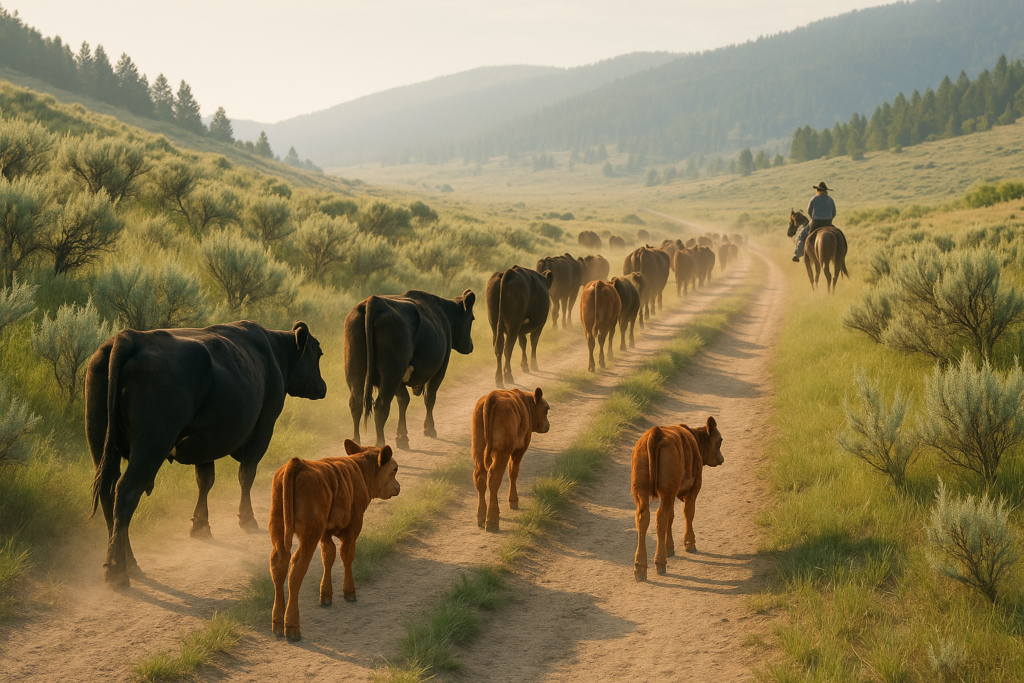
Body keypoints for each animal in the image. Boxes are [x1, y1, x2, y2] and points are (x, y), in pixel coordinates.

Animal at [85, 321, 328, 588]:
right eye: (318, 353)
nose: (323, 387)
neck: (275, 352)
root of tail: (130, 337)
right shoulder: (263, 428)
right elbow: (246, 475)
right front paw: (247, 518)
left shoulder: (207, 441)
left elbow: (205, 480)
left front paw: (201, 525)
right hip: (151, 445)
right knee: (126, 492)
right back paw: (118, 570)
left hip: (102, 445)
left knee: (108, 493)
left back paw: (128, 562)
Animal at [269, 440, 400, 641]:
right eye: (395, 469)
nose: (398, 487)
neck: (360, 470)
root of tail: (298, 463)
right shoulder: (353, 526)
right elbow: (346, 556)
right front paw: (349, 591)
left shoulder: (326, 532)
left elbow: (328, 556)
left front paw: (325, 594)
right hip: (310, 533)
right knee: (296, 569)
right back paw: (292, 626)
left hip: (278, 528)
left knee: (279, 566)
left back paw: (277, 622)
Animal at [345, 289, 476, 450]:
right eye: (472, 319)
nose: (471, 345)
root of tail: (374, 301)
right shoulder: (441, 368)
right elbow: (429, 396)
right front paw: (429, 428)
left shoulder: (400, 378)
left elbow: (403, 400)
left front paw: (402, 436)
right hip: (391, 373)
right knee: (381, 406)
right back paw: (380, 444)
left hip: (356, 370)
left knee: (356, 404)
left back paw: (355, 443)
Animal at [472, 387, 550, 532]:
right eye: (547, 409)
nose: (548, 425)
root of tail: (492, 396)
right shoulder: (520, 449)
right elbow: (513, 472)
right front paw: (513, 501)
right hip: (501, 453)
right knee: (494, 479)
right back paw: (492, 521)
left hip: (478, 451)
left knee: (480, 479)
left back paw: (481, 517)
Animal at [631, 417, 724, 582]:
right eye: (720, 440)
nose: (722, 459)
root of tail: (656, 432)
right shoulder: (694, 487)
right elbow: (688, 513)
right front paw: (689, 543)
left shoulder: (672, 494)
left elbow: (672, 516)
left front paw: (669, 547)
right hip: (666, 490)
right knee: (661, 518)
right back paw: (660, 562)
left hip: (642, 490)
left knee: (643, 519)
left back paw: (640, 567)